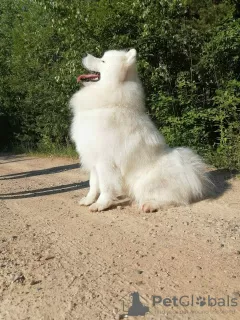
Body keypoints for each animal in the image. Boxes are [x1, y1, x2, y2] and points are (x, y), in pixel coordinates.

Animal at [69, 48, 210, 212]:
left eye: (102, 61)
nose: (84, 54)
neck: (109, 103)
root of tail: (190, 175)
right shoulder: (93, 158)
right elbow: (93, 184)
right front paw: (89, 200)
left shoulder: (105, 161)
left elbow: (105, 186)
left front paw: (101, 204)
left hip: (146, 182)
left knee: (173, 200)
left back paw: (150, 205)